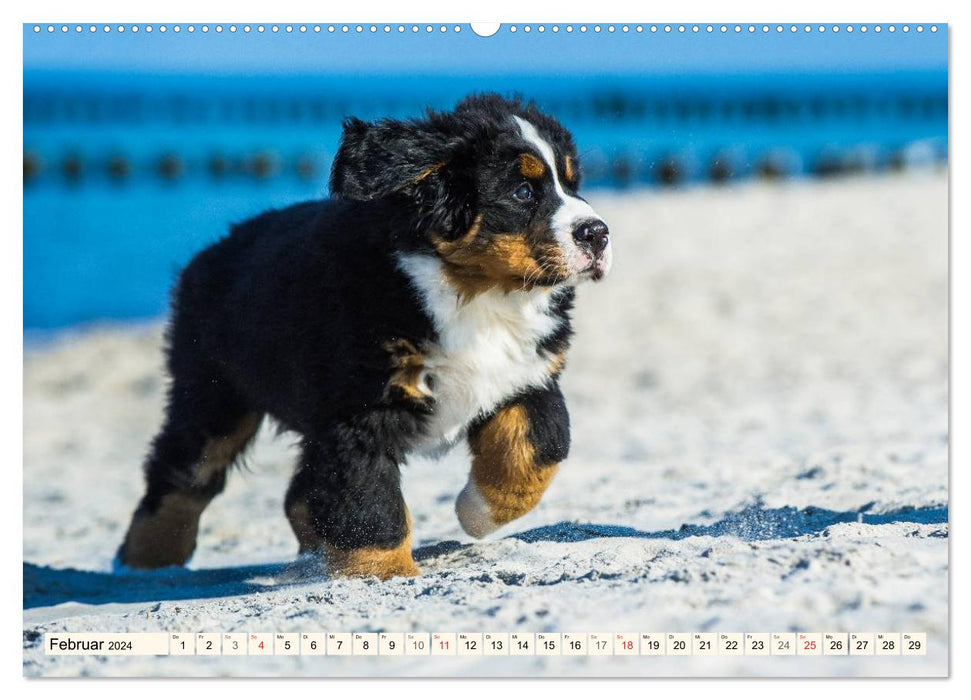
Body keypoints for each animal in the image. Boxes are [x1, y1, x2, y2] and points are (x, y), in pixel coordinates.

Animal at [117, 93, 612, 580]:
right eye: (522, 191)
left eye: (572, 185)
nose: (598, 233)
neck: (476, 297)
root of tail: (210, 253)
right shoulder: (358, 410)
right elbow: (369, 500)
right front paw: (386, 571)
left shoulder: (528, 376)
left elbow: (535, 451)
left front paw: (475, 514)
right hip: (212, 393)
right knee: (184, 472)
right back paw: (142, 561)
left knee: (300, 489)